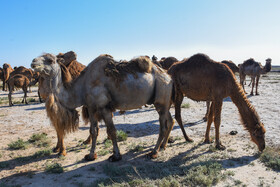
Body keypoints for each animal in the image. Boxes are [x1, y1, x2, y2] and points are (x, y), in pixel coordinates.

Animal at [31, 53, 174, 161]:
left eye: (50, 60)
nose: (33, 62)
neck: (81, 88)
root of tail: (168, 76)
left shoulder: (104, 107)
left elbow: (112, 130)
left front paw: (116, 156)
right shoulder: (91, 107)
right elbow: (93, 131)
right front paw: (90, 155)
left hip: (161, 95)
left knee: (163, 126)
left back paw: (154, 152)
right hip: (163, 101)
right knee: (170, 120)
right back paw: (163, 146)